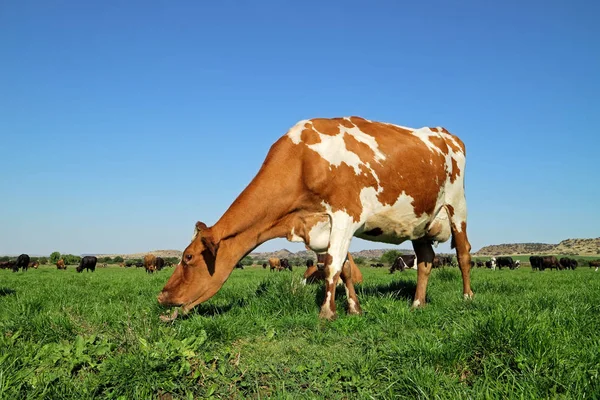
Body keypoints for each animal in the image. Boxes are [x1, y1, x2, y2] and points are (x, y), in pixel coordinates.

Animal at [158, 116, 474, 322]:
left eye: (188, 257)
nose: (161, 296)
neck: (302, 161)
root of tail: (445, 133)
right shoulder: (321, 226)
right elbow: (343, 268)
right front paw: (354, 309)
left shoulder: (346, 215)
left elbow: (333, 265)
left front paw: (326, 313)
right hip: (420, 222)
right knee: (426, 260)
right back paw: (417, 304)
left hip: (456, 206)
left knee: (463, 252)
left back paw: (467, 296)